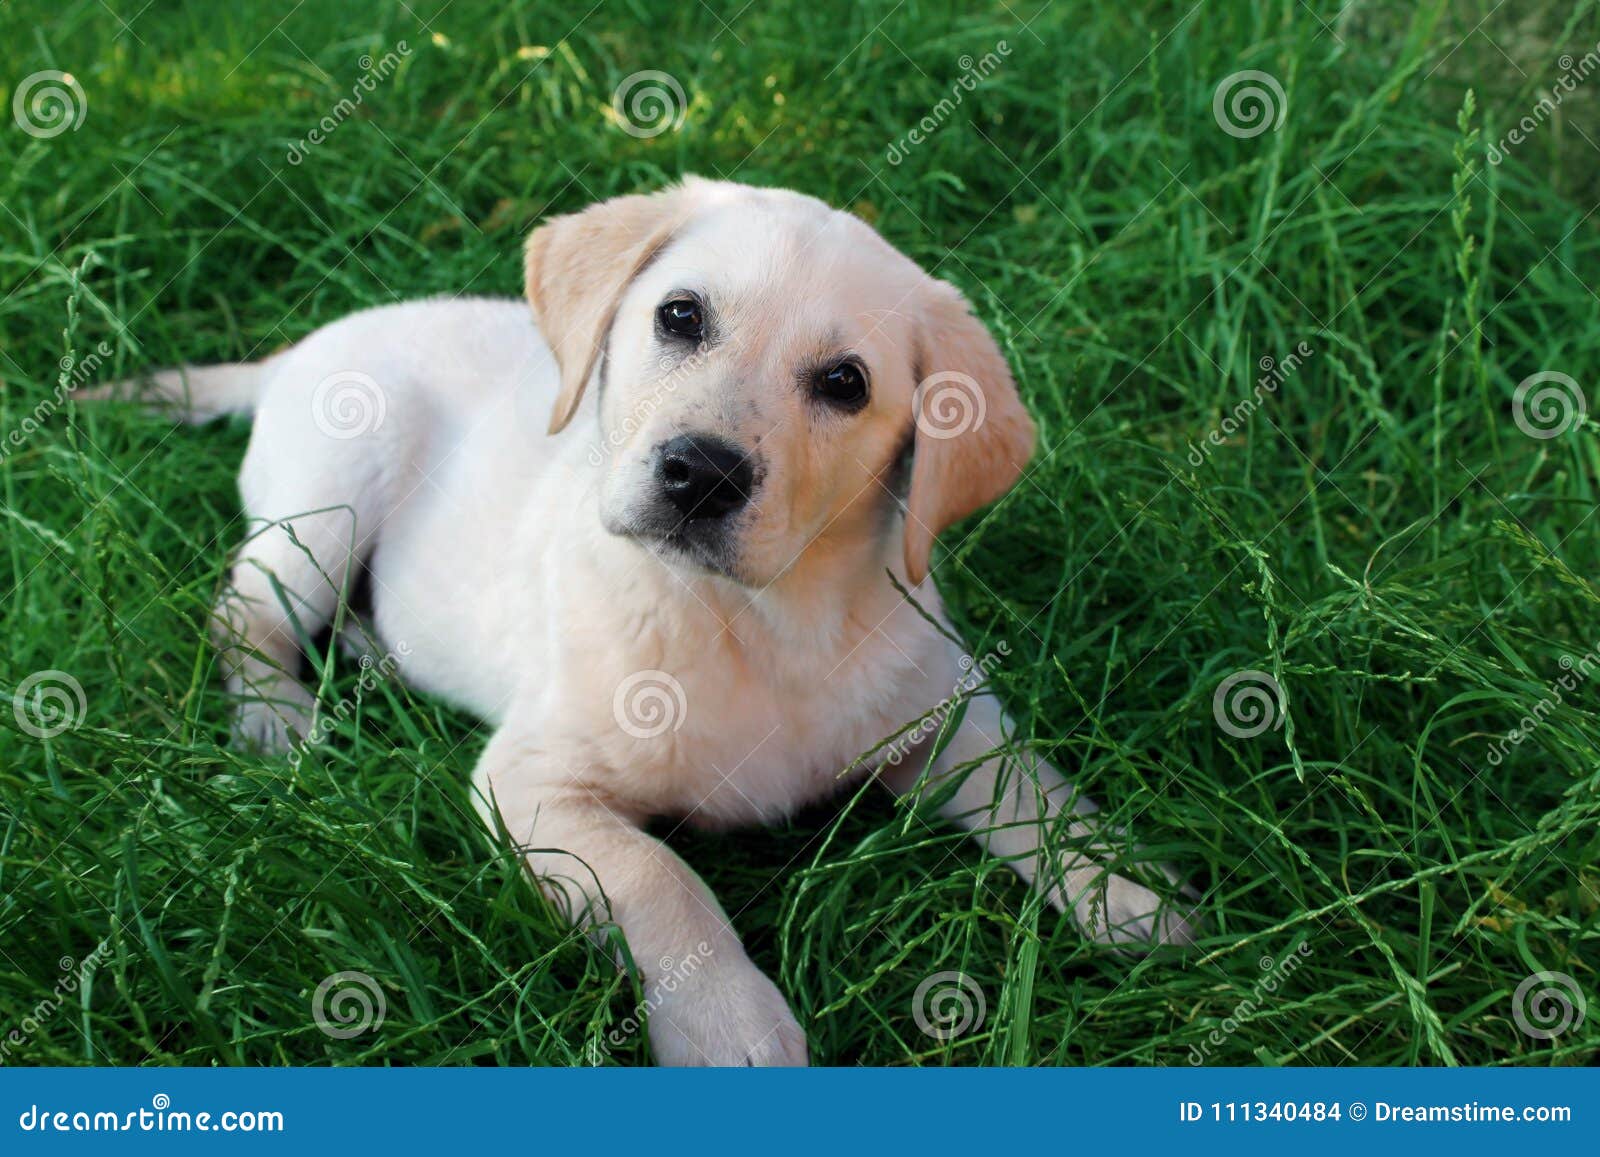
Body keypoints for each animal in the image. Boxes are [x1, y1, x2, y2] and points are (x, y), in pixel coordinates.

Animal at [106, 178, 1196, 1068]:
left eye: (846, 382)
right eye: (681, 316)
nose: (699, 472)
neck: (758, 618)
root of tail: (297, 351)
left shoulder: (943, 711)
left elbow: (1035, 793)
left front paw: (1129, 893)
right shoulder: (530, 784)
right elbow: (659, 878)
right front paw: (731, 1027)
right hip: (331, 490)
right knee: (243, 608)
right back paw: (274, 715)